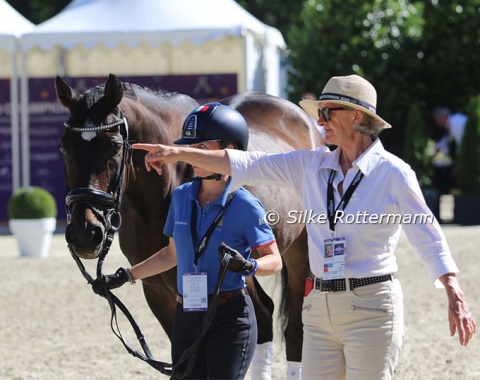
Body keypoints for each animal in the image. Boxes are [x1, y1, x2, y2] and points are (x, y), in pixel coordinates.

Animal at [56, 73, 322, 374]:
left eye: (114, 146)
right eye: (64, 147)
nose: (84, 233)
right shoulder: (157, 291)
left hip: (298, 255)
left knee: (290, 329)